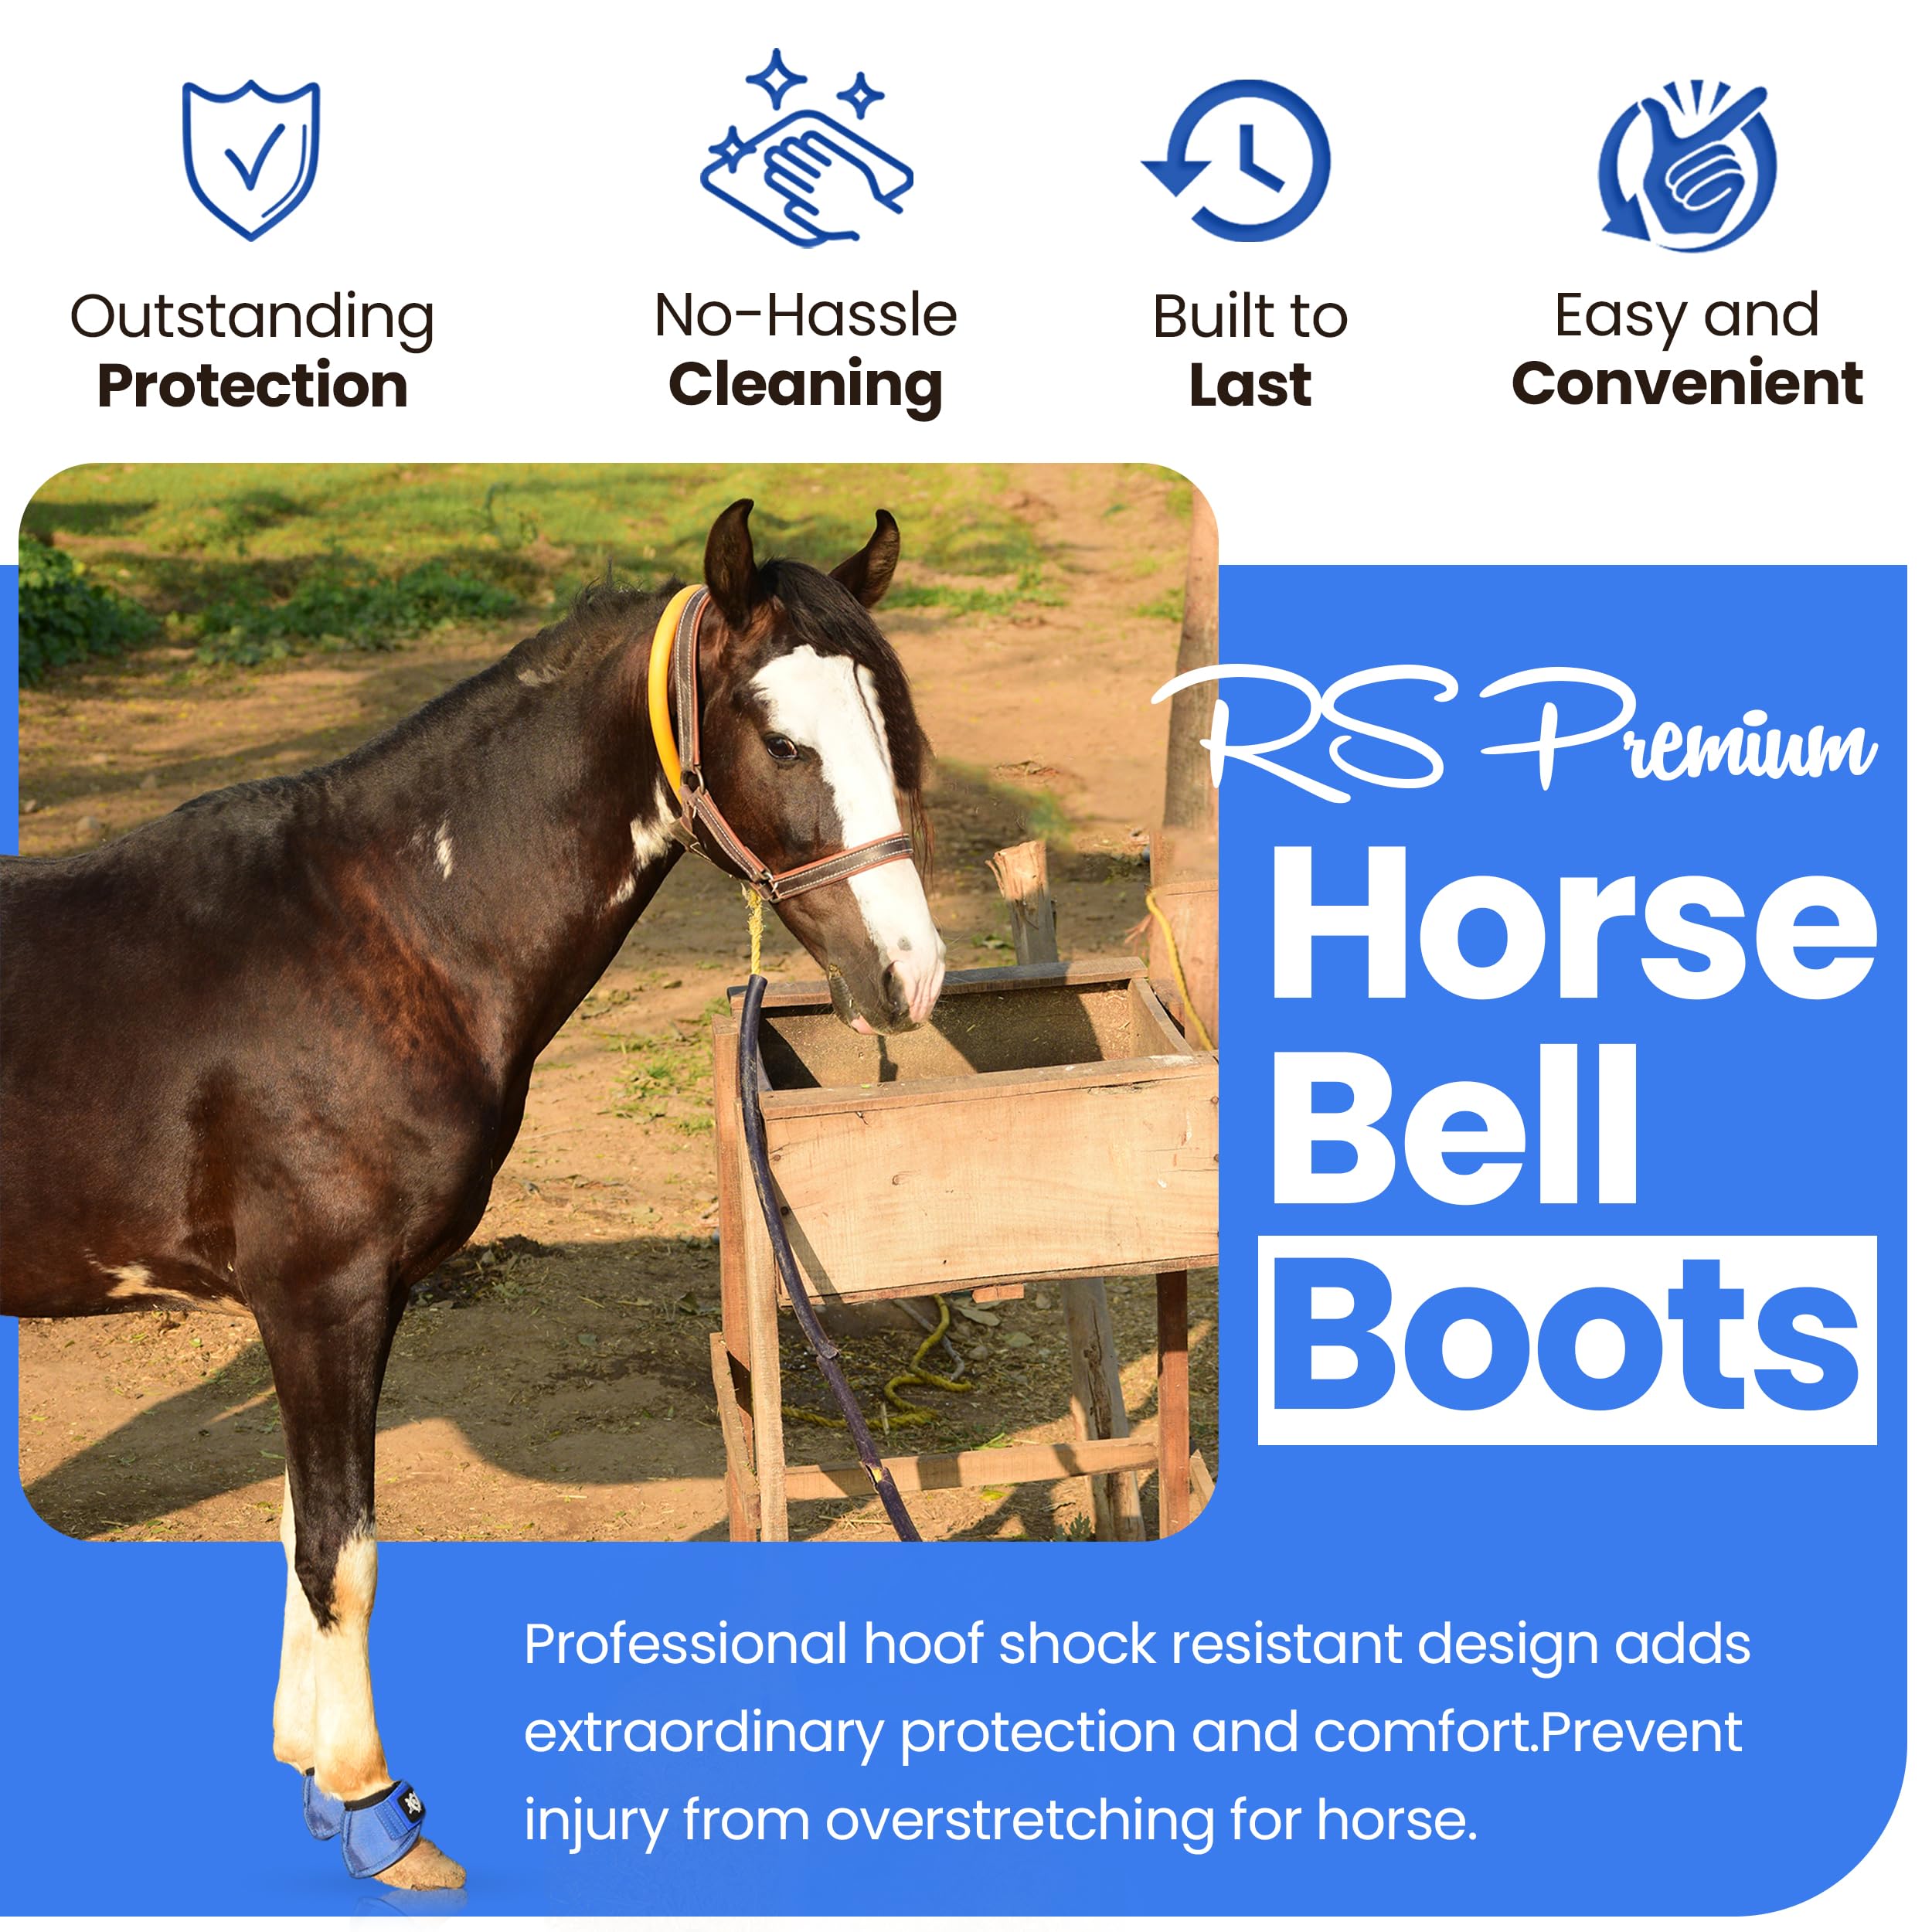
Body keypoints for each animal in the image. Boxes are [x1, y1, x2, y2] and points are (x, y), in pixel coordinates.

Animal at [0, 499, 945, 1888]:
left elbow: (303, 1535)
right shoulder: (321, 1297)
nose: (910, 974)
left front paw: (312, 1776)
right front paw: (371, 1810)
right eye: (782, 740)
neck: (387, 932)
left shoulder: (340, 1307)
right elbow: (341, 1554)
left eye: (898, 728)